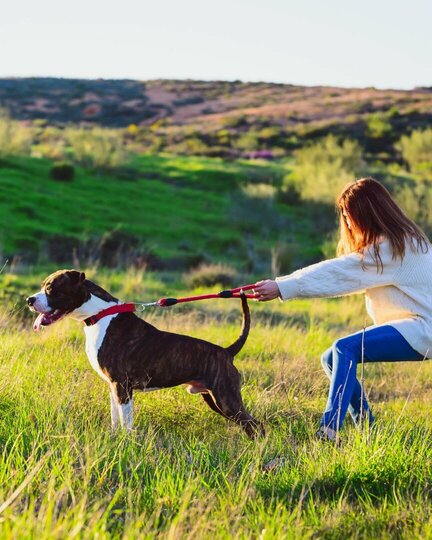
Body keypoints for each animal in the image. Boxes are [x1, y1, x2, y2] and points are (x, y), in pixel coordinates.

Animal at [27, 270, 264, 438]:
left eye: (51, 288)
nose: (29, 300)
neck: (100, 314)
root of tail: (227, 351)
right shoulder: (113, 387)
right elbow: (115, 419)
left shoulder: (122, 385)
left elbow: (126, 422)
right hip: (215, 399)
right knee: (250, 426)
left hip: (226, 399)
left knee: (257, 425)